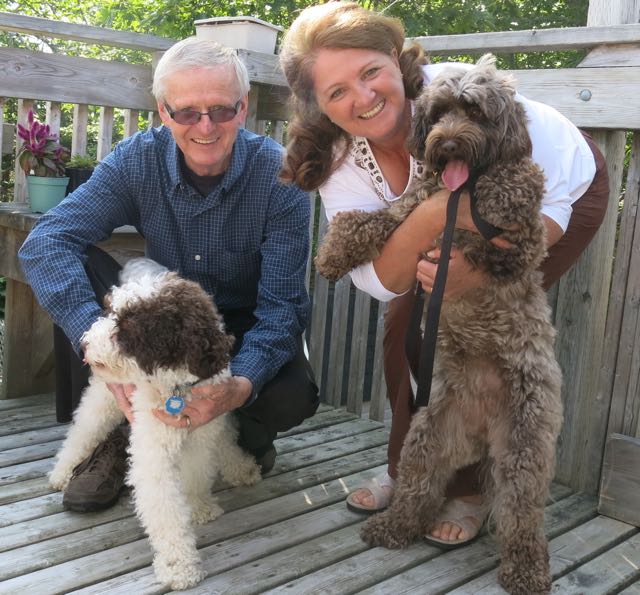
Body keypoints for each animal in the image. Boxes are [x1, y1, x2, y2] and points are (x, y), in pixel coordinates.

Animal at [49, 258, 261, 590]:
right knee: (84, 430)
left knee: (226, 437)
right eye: (110, 312)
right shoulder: (154, 454)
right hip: (105, 397)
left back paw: (241, 467)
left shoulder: (202, 432)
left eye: (128, 327)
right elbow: (165, 510)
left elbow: (198, 473)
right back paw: (61, 472)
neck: (177, 389)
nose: (84, 345)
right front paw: (178, 566)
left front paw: (199, 506)